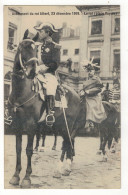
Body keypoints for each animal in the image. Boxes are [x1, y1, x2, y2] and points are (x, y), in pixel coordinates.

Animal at [8, 35, 86, 188]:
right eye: (22, 47)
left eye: (35, 50)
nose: (32, 72)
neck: (22, 92)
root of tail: (76, 94)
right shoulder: (17, 125)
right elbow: (18, 149)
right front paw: (15, 176)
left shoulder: (31, 126)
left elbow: (29, 150)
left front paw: (27, 178)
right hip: (61, 125)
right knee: (67, 143)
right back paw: (63, 169)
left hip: (67, 125)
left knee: (67, 143)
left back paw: (62, 169)